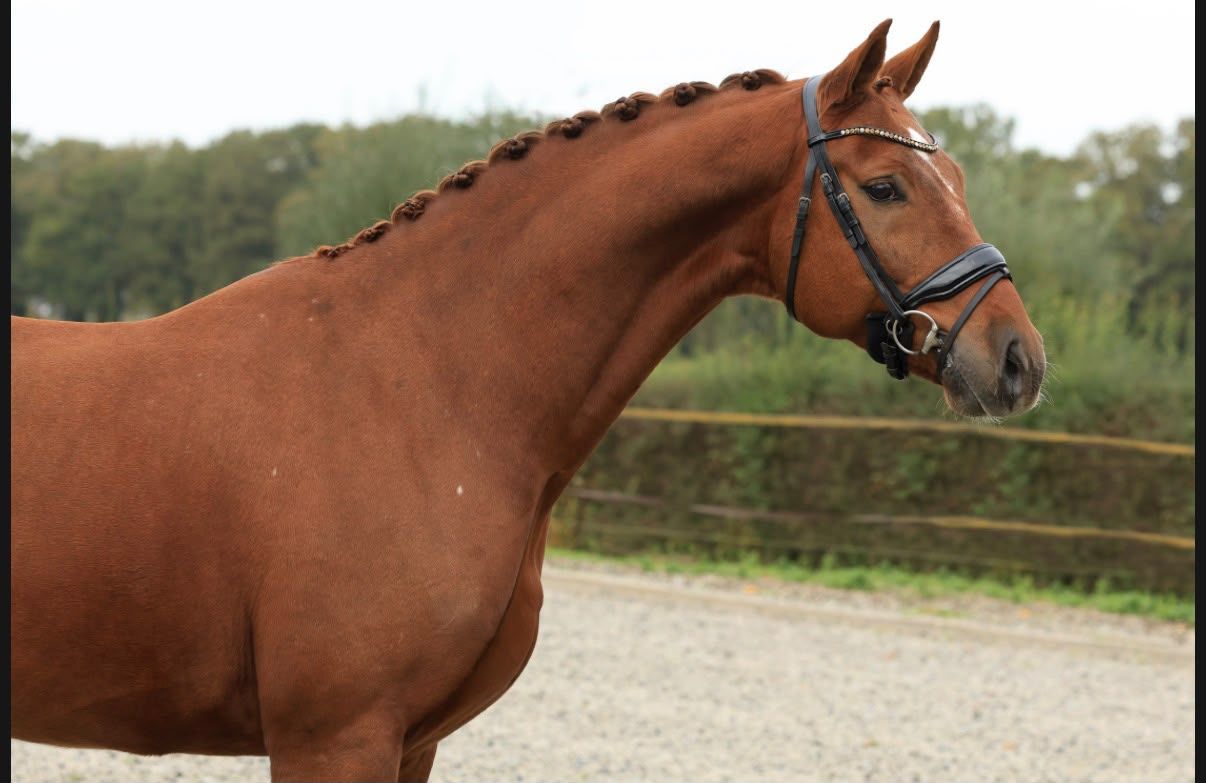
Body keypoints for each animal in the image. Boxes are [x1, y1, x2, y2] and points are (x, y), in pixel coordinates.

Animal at [11, 19, 1045, 782]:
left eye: (955, 176)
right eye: (886, 186)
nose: (1017, 360)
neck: (423, 382)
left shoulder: (412, 740)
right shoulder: (334, 736)